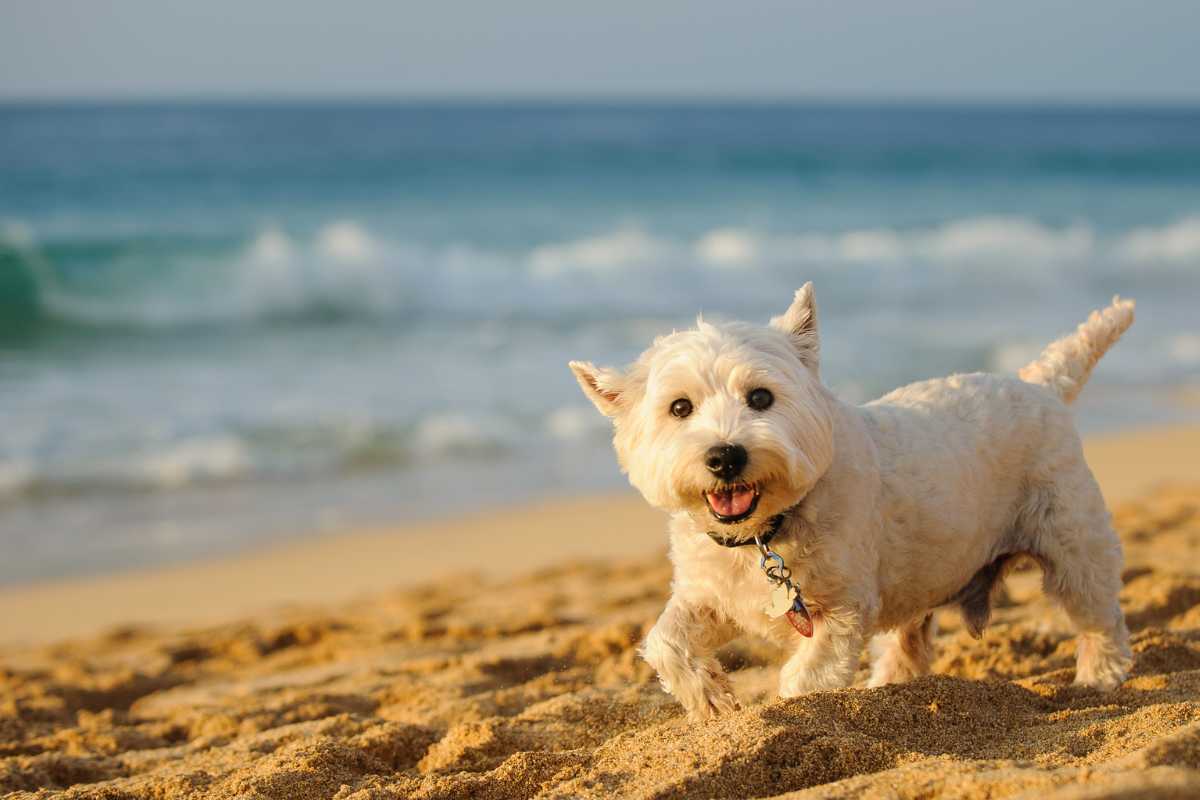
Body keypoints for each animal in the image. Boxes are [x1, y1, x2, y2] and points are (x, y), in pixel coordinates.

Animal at [571, 286, 1132, 719]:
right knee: (908, 643)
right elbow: (665, 641)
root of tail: (1041, 385)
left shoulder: (841, 610)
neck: (764, 534)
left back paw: (1099, 676)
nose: (725, 456)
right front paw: (712, 701)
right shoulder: (711, 593)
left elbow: (806, 677)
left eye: (760, 398)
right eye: (679, 408)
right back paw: (889, 686)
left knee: (1097, 613)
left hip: (1071, 540)